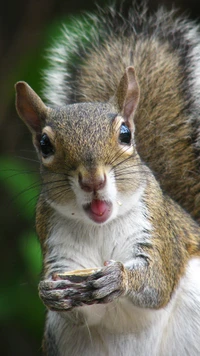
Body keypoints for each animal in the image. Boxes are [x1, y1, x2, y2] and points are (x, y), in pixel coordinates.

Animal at [14, 2, 200, 356]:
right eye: (44, 145)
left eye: (125, 134)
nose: (92, 181)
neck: (100, 227)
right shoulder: (57, 245)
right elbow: (80, 310)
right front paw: (50, 294)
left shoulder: (158, 228)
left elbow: (158, 282)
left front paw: (120, 278)